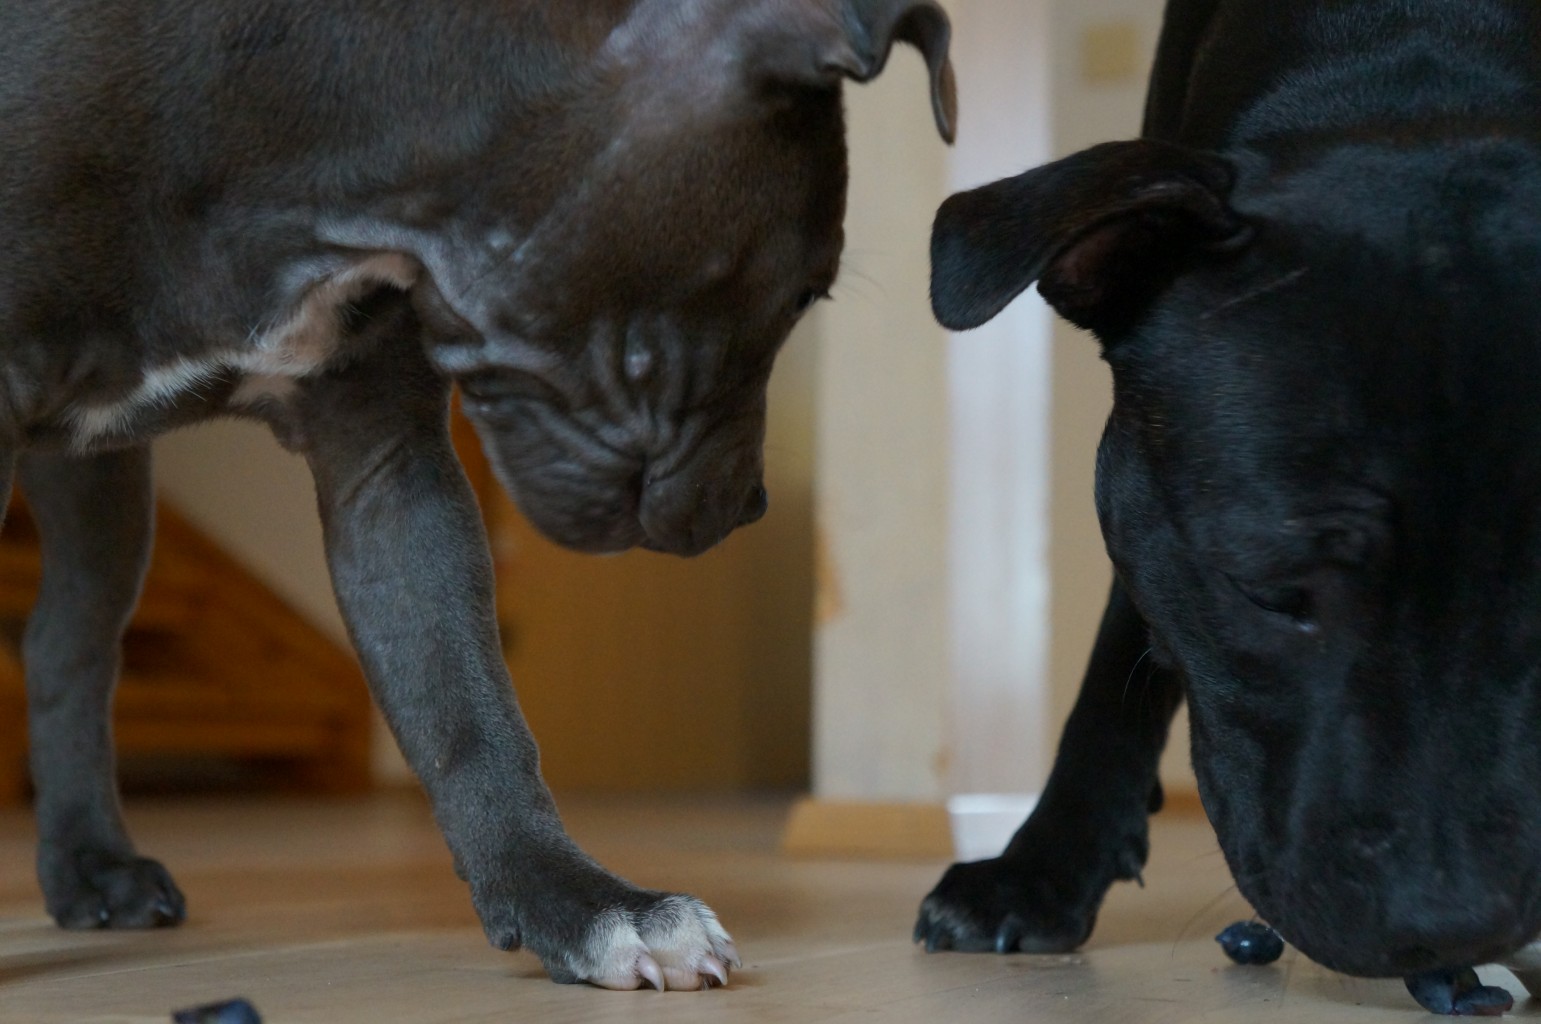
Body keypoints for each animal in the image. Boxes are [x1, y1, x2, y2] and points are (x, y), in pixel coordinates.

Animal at [0, 0, 956, 992]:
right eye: (804, 293)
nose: (755, 503)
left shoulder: (387, 468)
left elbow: (466, 712)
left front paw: (583, 904)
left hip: (102, 484)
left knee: (67, 645)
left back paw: (92, 866)